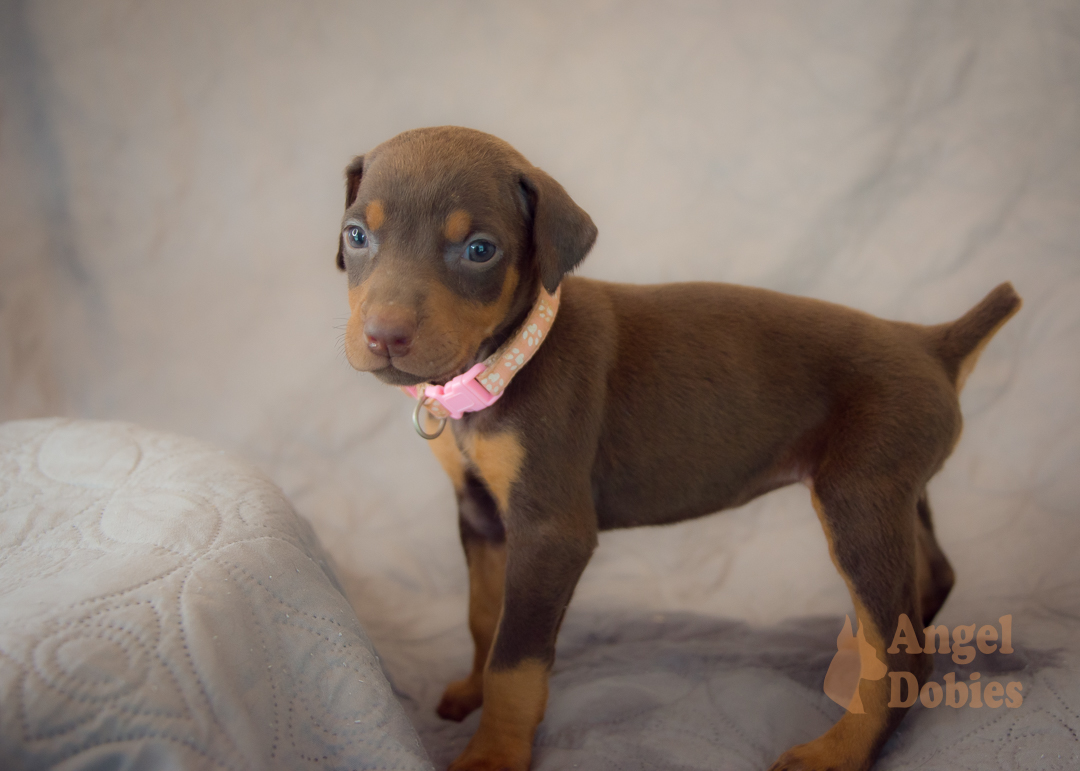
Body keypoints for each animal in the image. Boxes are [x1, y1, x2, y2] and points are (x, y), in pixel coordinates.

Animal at [334, 126, 1019, 768]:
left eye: (480, 250)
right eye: (356, 236)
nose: (384, 336)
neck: (508, 358)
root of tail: (932, 343)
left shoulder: (549, 530)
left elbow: (516, 656)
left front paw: (492, 755)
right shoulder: (480, 515)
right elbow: (485, 618)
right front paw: (472, 691)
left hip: (857, 503)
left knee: (903, 656)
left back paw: (837, 751)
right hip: (893, 489)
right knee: (927, 583)